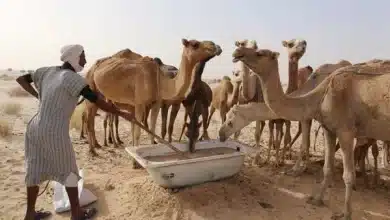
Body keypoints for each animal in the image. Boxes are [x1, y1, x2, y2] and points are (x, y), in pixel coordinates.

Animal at [84, 38, 221, 156]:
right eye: (195, 44)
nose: (216, 46)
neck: (160, 81)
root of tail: (92, 68)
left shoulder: (156, 103)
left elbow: (152, 129)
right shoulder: (139, 104)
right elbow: (138, 132)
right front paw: (135, 159)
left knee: (93, 119)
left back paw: (97, 145)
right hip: (90, 87)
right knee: (89, 120)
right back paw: (93, 150)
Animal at [230, 46, 390, 218]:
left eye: (260, 53)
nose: (237, 51)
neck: (321, 96)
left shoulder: (345, 131)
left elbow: (348, 175)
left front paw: (346, 214)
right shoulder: (329, 129)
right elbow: (327, 168)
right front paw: (317, 199)